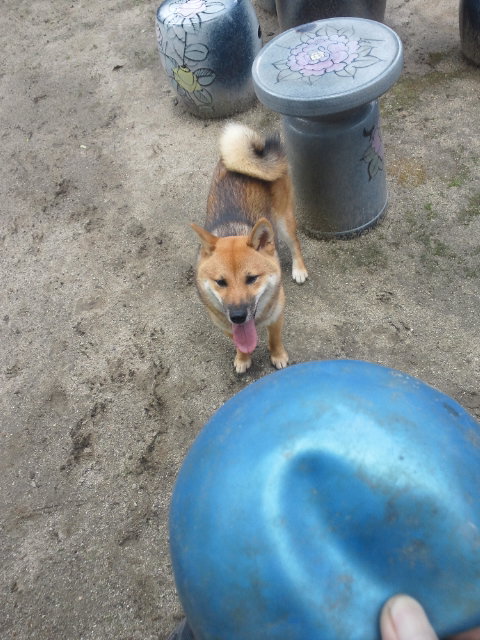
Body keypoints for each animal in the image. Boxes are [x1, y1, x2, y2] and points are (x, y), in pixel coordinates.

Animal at [192, 123, 308, 373]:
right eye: (220, 282)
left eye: (252, 278)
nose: (237, 315)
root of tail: (257, 149)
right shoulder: (224, 325)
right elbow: (239, 343)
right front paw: (243, 358)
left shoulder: (277, 313)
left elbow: (274, 339)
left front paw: (278, 356)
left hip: (284, 220)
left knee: (295, 244)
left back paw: (299, 269)